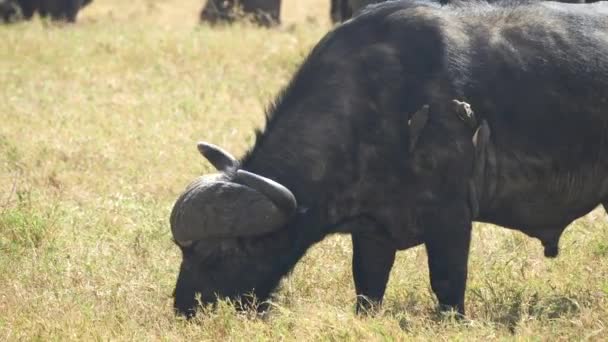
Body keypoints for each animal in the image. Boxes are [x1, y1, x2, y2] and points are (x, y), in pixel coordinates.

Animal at [170, 0, 608, 318]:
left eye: (218, 253)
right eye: (184, 251)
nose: (185, 307)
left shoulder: (450, 217)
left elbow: (447, 282)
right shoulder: (373, 231)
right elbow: (367, 286)